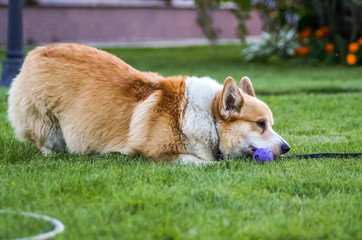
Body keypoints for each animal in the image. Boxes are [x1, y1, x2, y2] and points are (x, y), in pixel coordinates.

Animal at [7, 43, 292, 164]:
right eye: (260, 124)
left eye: (270, 124)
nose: (287, 148)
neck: (207, 120)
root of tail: (36, 51)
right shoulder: (160, 153)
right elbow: (204, 162)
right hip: (45, 121)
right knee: (43, 141)